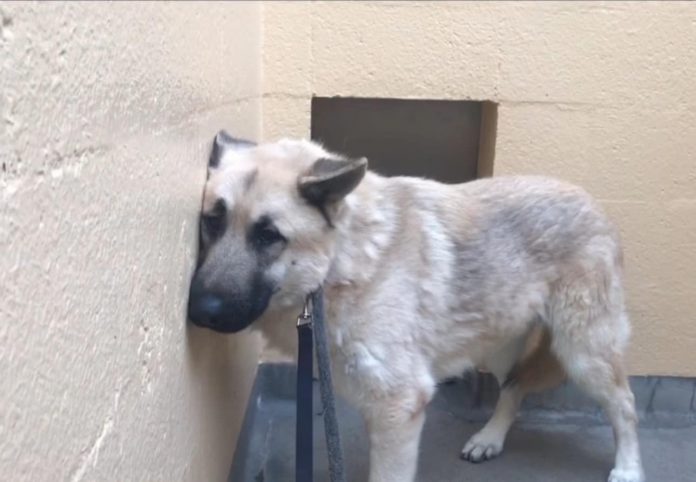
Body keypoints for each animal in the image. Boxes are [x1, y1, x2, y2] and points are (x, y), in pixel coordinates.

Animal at [188, 131, 644, 482]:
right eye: (212, 221)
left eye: (268, 236)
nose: (201, 310)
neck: (341, 262)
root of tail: (593, 203)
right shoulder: (383, 409)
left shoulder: (399, 406)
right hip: (498, 344)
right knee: (513, 389)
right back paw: (490, 439)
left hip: (583, 353)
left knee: (624, 404)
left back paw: (628, 468)